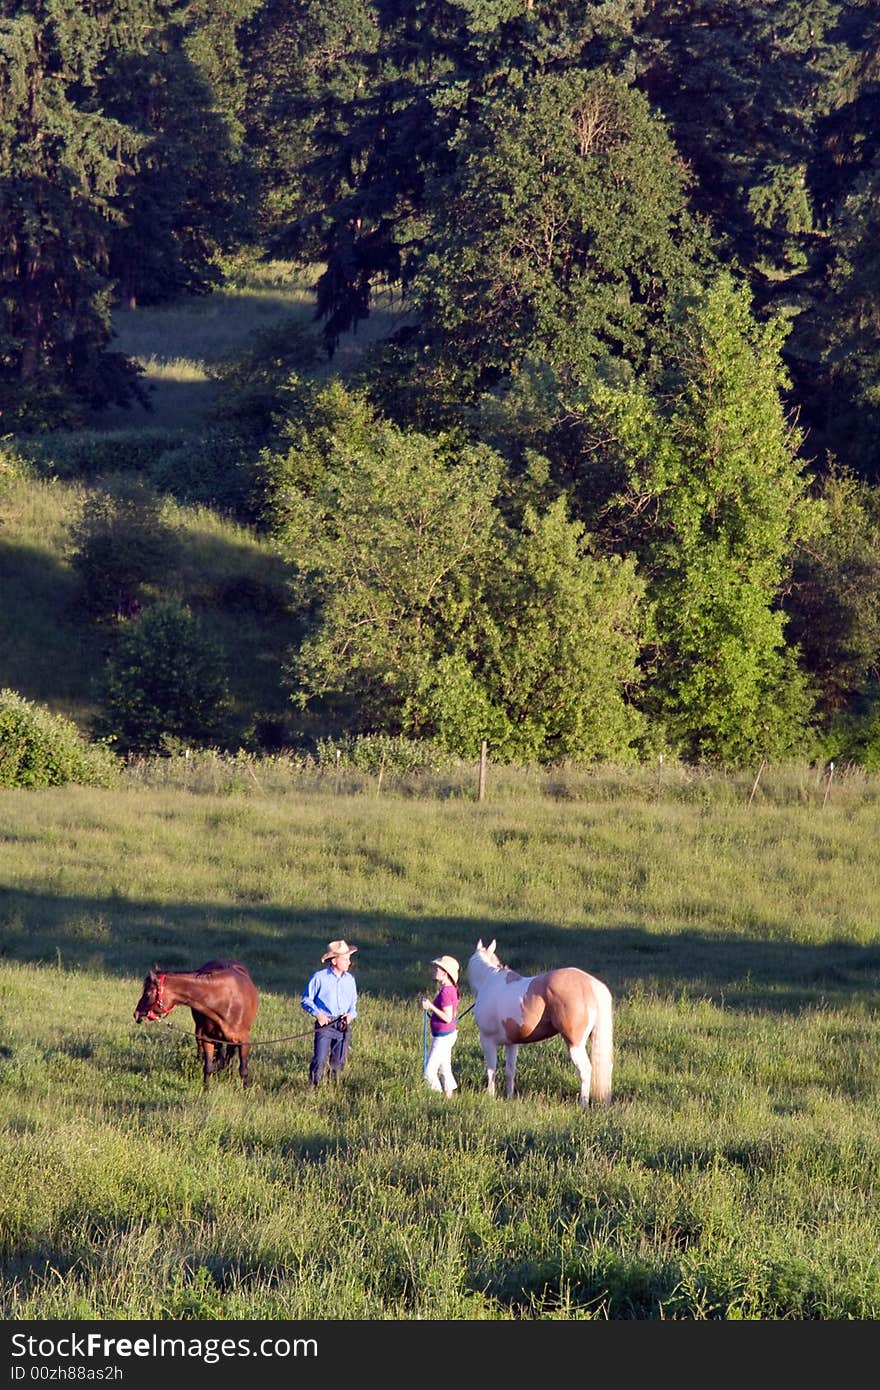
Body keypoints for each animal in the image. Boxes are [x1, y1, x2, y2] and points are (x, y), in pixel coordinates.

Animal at [132, 961, 258, 1089]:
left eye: (147, 993)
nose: (136, 1014)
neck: (226, 1000)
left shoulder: (244, 1041)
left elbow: (243, 1069)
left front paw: (246, 1089)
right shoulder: (207, 1038)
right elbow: (208, 1067)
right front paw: (206, 1089)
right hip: (200, 1032)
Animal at [467, 934, 611, 1106]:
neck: (489, 980)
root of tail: (590, 984)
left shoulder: (487, 1040)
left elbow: (491, 1071)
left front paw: (490, 1096)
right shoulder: (512, 1043)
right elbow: (510, 1071)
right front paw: (509, 1096)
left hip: (574, 1044)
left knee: (585, 1070)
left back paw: (582, 1103)